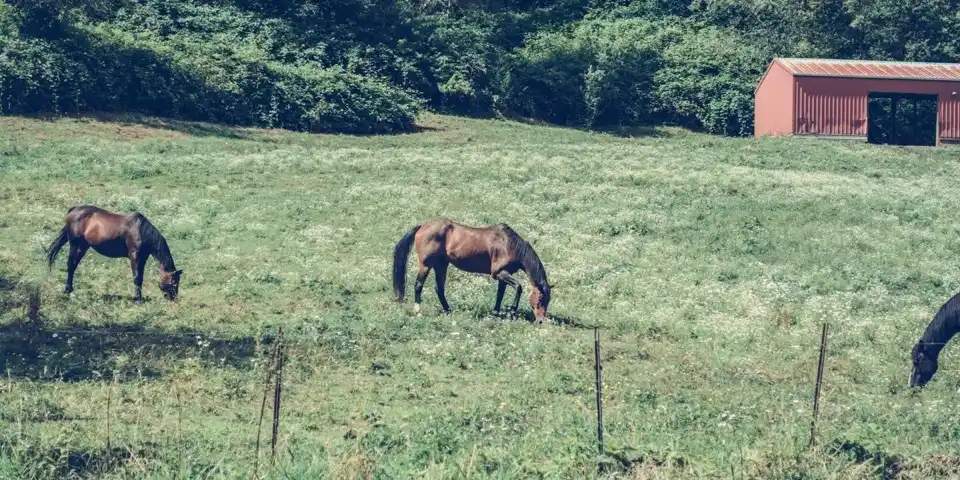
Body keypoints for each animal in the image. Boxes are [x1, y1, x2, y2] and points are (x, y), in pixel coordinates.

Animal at [47, 205, 182, 303]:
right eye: (174, 282)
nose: (174, 299)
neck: (140, 231)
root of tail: (74, 210)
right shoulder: (135, 256)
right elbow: (137, 277)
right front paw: (138, 300)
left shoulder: (143, 258)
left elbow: (140, 278)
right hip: (76, 245)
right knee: (70, 265)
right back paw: (67, 290)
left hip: (83, 246)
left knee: (73, 266)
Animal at [392, 218, 552, 322]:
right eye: (541, 299)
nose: (540, 321)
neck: (508, 244)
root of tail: (422, 227)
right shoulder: (499, 273)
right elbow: (519, 287)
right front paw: (511, 310)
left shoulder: (502, 275)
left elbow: (500, 295)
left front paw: (496, 312)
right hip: (426, 265)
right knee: (418, 285)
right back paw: (418, 311)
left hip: (441, 265)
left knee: (439, 288)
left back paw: (448, 310)